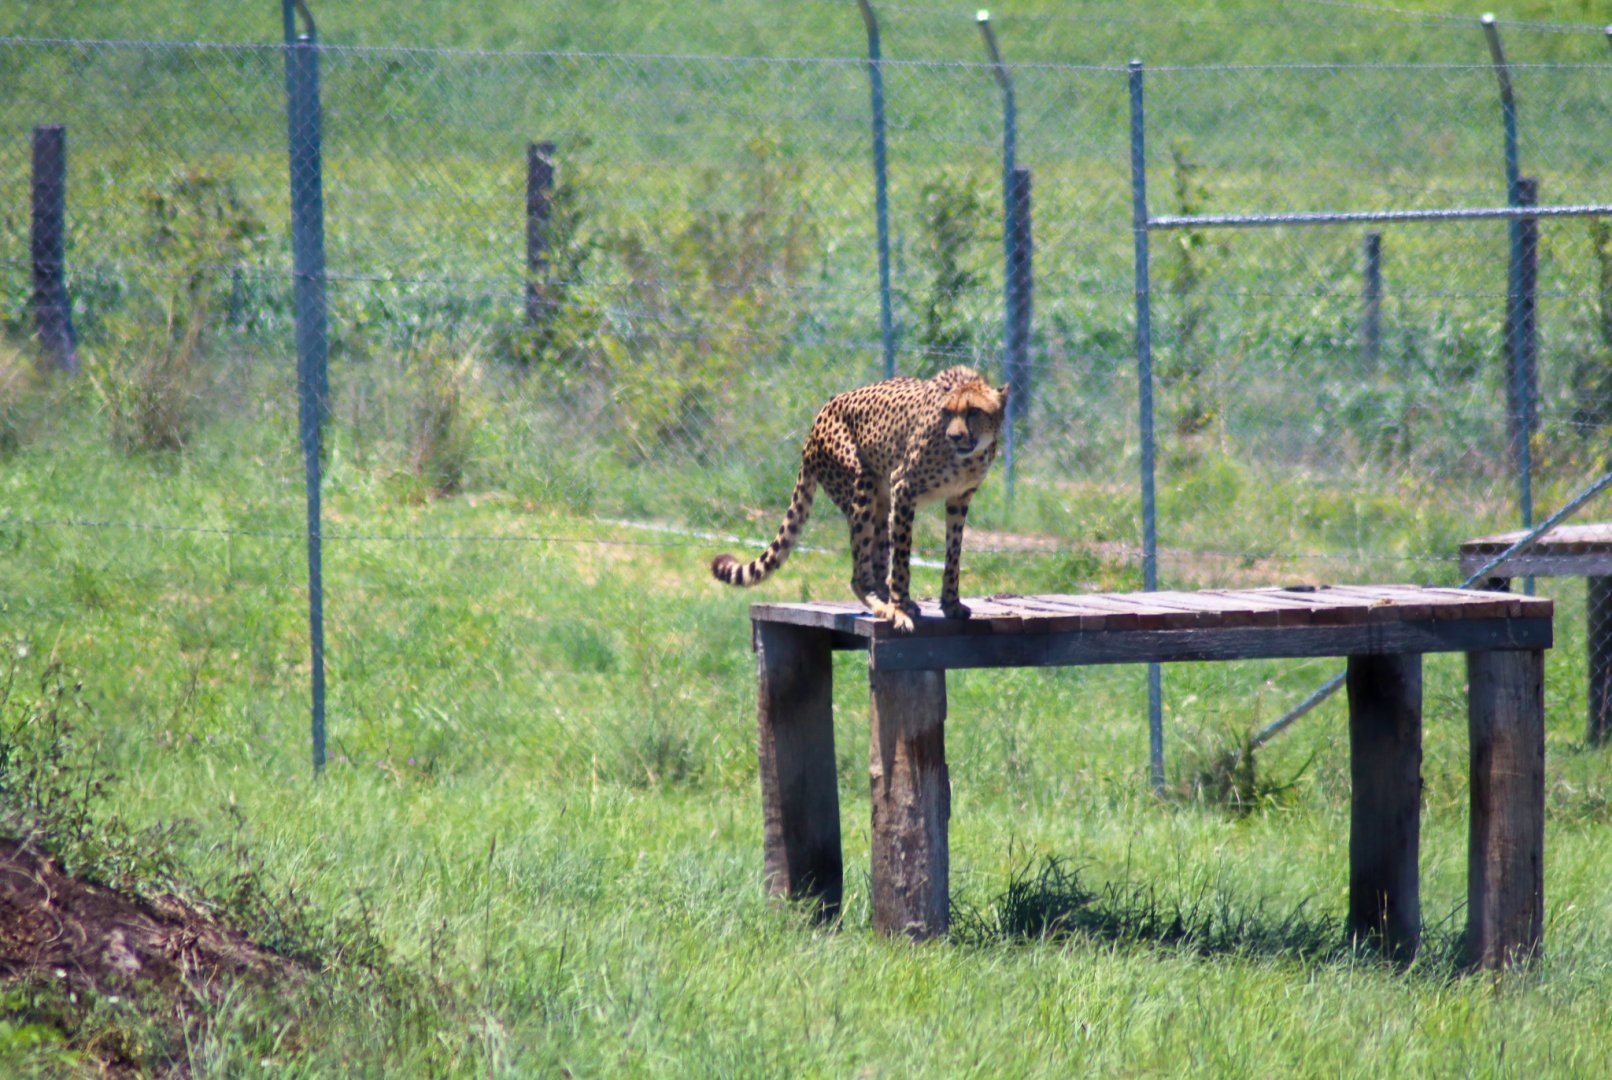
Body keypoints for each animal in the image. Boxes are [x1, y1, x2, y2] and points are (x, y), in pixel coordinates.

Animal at [711, 366, 1009, 633]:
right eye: (948, 412)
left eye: (974, 411)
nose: (954, 436)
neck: (968, 456)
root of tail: (821, 413)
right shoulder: (903, 487)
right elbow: (902, 560)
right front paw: (901, 608)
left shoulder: (959, 498)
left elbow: (953, 554)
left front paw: (950, 604)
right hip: (861, 485)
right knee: (859, 574)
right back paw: (886, 606)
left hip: (881, 503)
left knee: (877, 561)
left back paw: (887, 597)